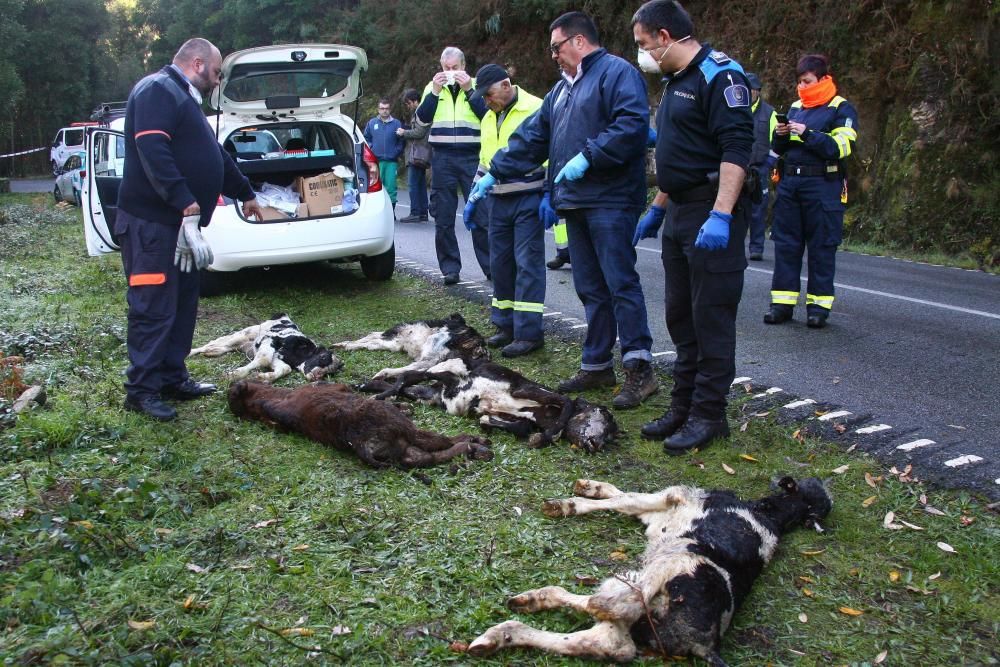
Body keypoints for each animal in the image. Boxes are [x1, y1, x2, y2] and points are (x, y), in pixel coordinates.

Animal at [188, 314, 344, 380]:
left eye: (330, 372)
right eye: (323, 357)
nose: (319, 375)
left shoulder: (279, 358)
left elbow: (284, 369)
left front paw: (265, 377)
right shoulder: (270, 341)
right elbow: (263, 359)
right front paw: (235, 374)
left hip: (241, 344)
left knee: (222, 347)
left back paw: (212, 352)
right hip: (244, 334)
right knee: (213, 342)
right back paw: (192, 352)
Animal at [228, 380, 492, 470]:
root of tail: (360, 442)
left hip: (403, 448)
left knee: (428, 457)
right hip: (410, 431)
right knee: (449, 441)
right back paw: (477, 444)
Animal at [360, 360, 616, 454]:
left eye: (613, 436)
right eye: (605, 414)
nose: (600, 443)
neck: (545, 415)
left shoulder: (523, 418)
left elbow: (520, 427)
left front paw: (486, 422)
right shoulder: (525, 389)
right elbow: (566, 402)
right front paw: (549, 435)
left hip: (429, 393)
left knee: (406, 385)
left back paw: (372, 388)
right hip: (447, 372)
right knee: (407, 375)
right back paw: (379, 393)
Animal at [472, 478, 832, 664]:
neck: (772, 517)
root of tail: (706, 644)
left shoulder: (677, 497)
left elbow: (628, 500)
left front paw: (569, 503)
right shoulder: (659, 517)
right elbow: (625, 497)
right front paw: (591, 488)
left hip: (670, 564)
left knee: (607, 605)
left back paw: (530, 606)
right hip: (641, 617)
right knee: (605, 642)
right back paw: (504, 632)